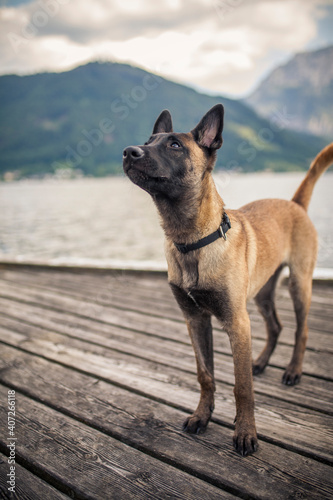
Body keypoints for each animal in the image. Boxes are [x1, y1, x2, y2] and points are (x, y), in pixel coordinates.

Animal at [122, 105, 332, 458]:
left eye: (174, 145)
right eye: (148, 141)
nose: (128, 151)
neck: (192, 241)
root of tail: (294, 204)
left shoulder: (236, 322)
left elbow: (242, 386)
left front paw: (245, 433)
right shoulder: (195, 320)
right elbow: (205, 375)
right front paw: (201, 416)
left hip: (299, 284)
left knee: (300, 331)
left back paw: (292, 371)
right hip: (262, 293)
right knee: (276, 326)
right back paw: (261, 362)